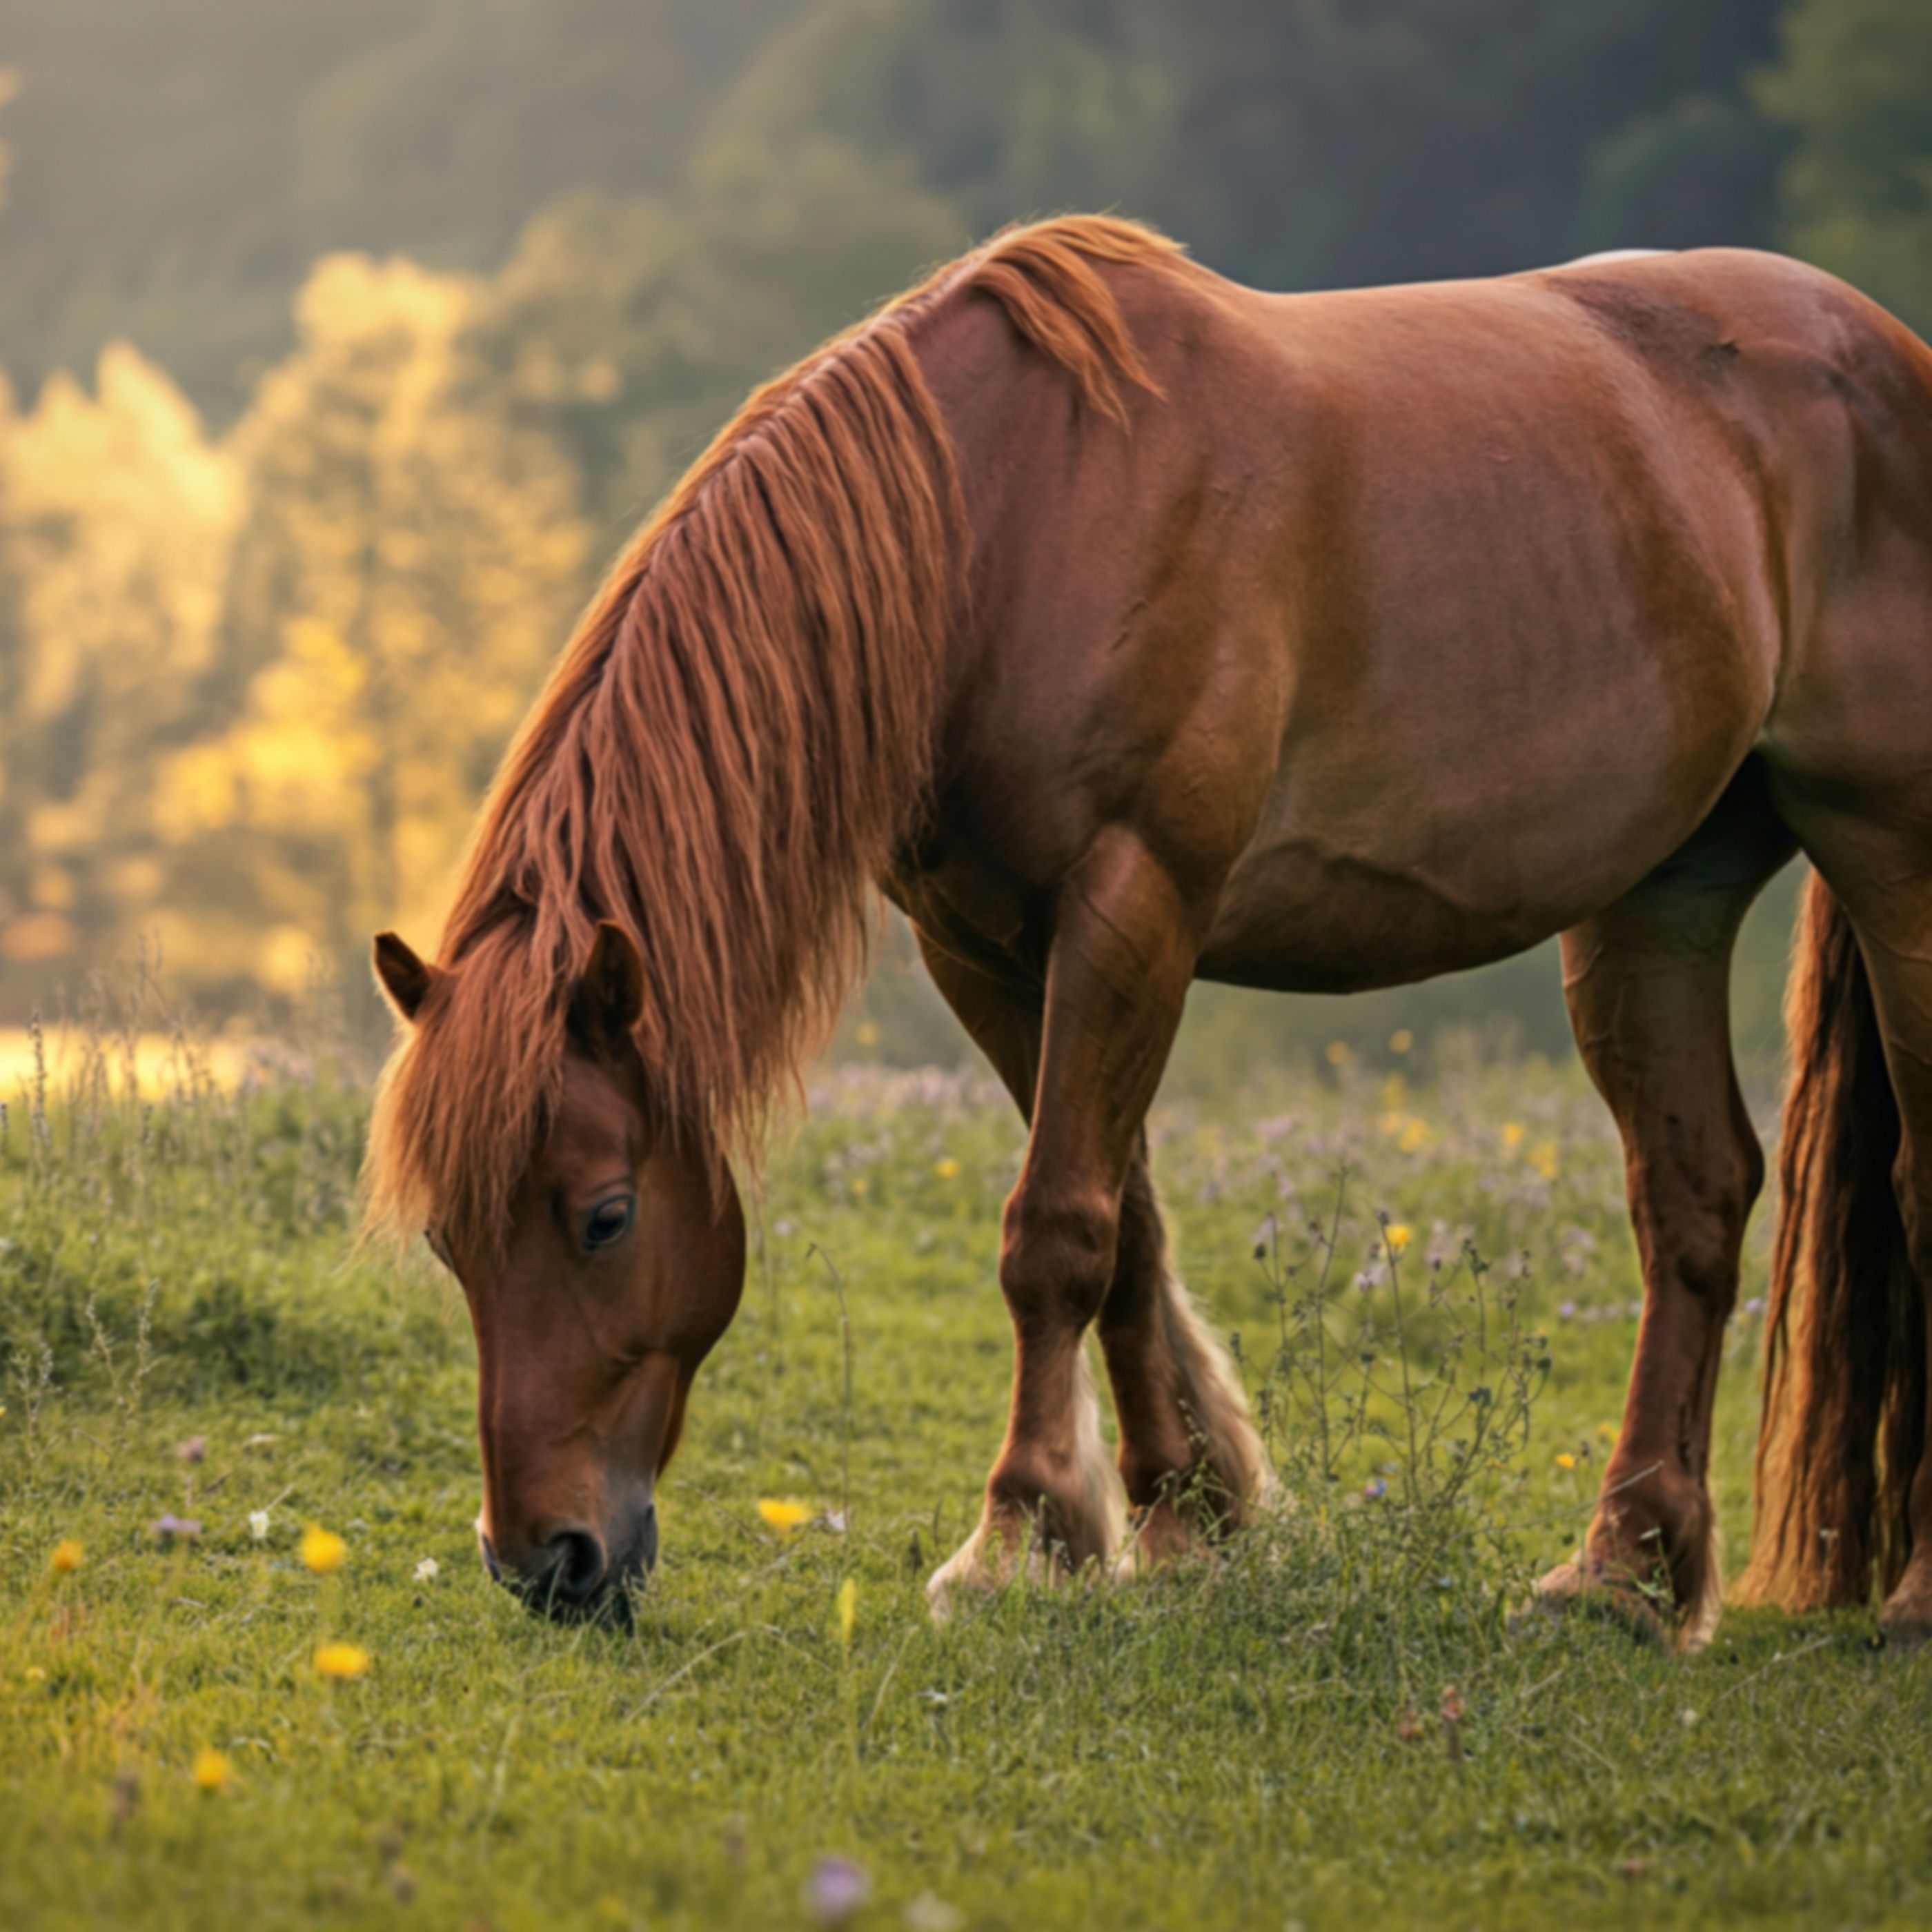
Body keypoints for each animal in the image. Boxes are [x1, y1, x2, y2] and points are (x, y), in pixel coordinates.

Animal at [364, 216, 1932, 1646]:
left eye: (605, 1215)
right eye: (447, 1237)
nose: (544, 1560)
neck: (1006, 522)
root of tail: (1880, 353)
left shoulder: (1134, 900)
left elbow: (1057, 1225)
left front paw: (1016, 1533)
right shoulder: (989, 946)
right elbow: (1125, 1224)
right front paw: (1181, 1518)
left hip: (1888, 855)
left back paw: (1906, 1594)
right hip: (1659, 895)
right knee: (1690, 1195)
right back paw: (1620, 1574)